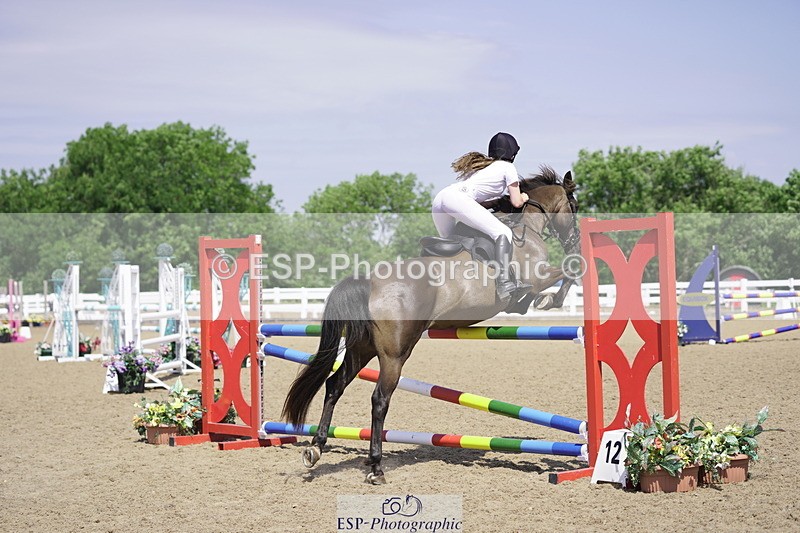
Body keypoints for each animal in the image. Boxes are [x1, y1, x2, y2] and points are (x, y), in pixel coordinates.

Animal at [281, 166, 579, 484]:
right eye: (573, 207)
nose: (574, 240)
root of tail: (369, 282)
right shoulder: (537, 277)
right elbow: (570, 271)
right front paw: (550, 300)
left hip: (362, 349)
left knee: (334, 385)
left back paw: (316, 448)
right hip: (394, 355)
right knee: (379, 400)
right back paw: (376, 467)